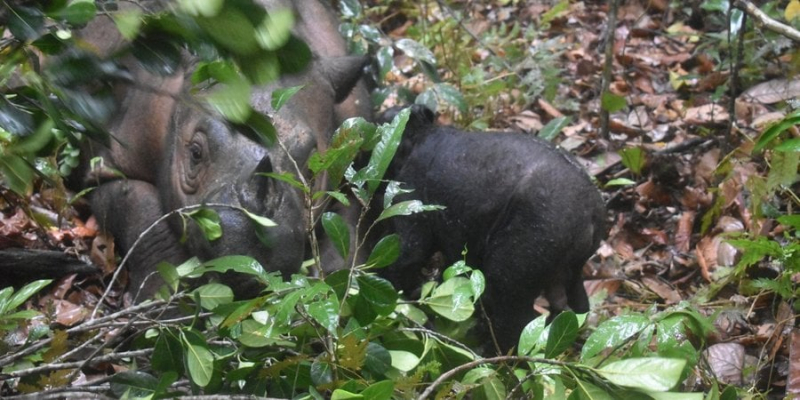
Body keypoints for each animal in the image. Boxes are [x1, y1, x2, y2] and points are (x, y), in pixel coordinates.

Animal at [378, 104, 604, 352]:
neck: (419, 135)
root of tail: (593, 215)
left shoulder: (410, 199)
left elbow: (405, 258)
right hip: (572, 268)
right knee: (576, 306)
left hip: (521, 258)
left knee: (513, 319)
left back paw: (483, 353)